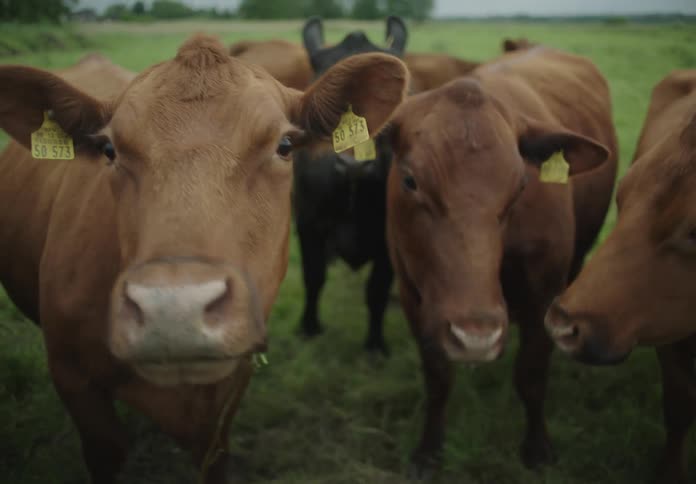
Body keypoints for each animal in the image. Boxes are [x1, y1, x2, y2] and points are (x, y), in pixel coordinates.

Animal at [293, 16, 408, 355]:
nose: (354, 164)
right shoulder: (307, 223)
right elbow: (313, 276)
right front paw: (309, 327)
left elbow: (377, 289)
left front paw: (375, 344)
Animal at [386, 45, 617, 475]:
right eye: (410, 181)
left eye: (522, 186)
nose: (476, 337)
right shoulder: (413, 296)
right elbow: (438, 379)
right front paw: (429, 449)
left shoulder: (545, 295)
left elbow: (531, 376)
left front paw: (537, 446)